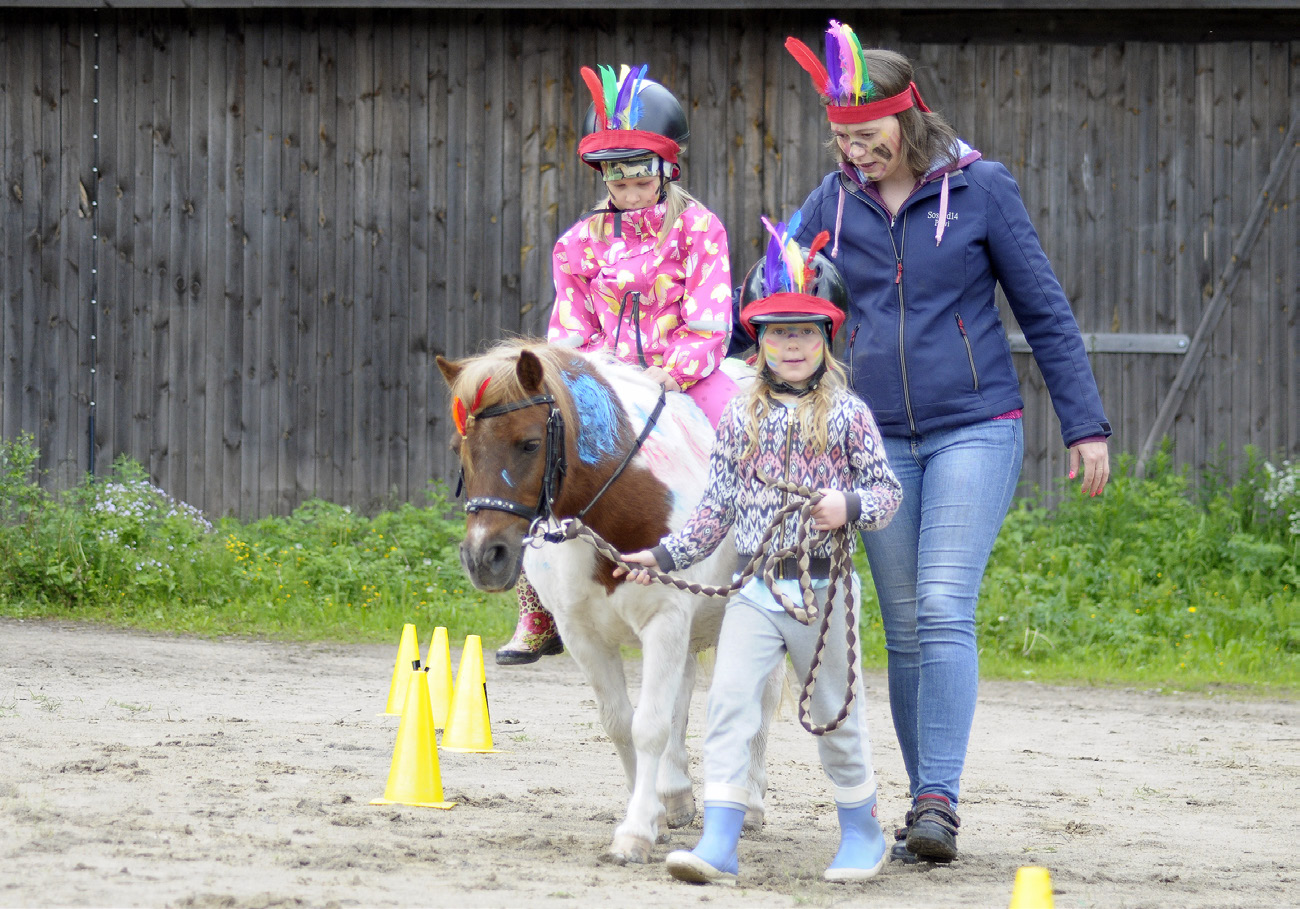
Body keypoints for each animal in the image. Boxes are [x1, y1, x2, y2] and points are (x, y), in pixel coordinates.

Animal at [436, 338, 774, 863]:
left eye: (529, 443)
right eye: (460, 449)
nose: (483, 557)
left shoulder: (665, 622)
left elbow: (650, 725)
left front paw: (635, 833)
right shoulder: (586, 637)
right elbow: (621, 724)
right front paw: (651, 816)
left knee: (762, 704)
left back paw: (752, 803)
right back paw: (675, 795)